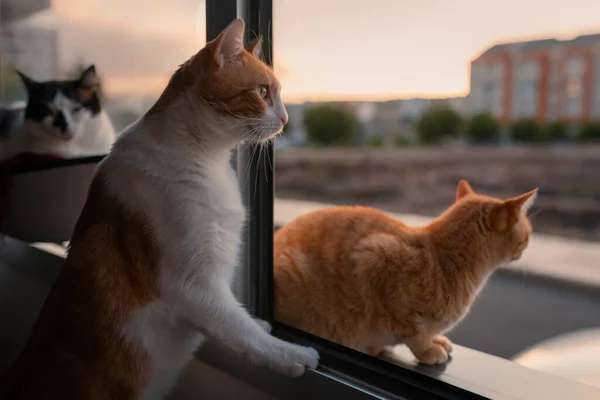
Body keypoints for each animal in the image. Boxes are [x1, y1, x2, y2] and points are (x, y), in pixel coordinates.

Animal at [0, 18, 318, 400]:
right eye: (262, 92)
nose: (285, 119)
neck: (206, 158)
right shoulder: (194, 286)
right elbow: (240, 331)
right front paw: (291, 354)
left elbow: (238, 319)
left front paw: (259, 322)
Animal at [274, 181, 536, 366]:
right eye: (528, 230)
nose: (528, 242)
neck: (445, 259)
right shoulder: (375, 257)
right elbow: (414, 333)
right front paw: (428, 350)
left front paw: (437, 340)